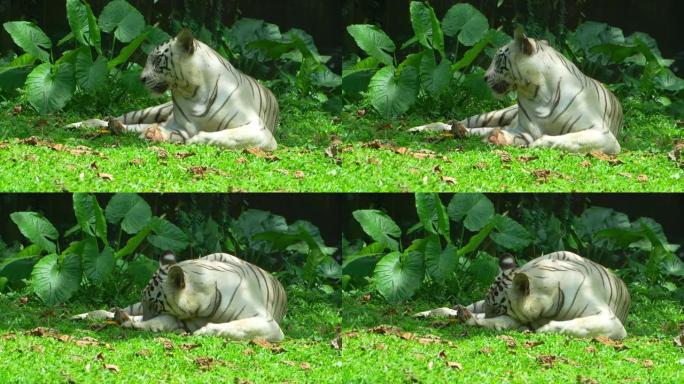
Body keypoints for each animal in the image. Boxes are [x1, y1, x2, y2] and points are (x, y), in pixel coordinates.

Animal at [65, 28, 278, 151]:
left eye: (157, 59)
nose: (141, 78)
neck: (192, 92)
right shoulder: (179, 126)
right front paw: (155, 134)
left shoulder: (258, 129)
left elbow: (227, 136)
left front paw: (196, 140)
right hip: (150, 110)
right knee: (110, 120)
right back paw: (81, 125)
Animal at [73, 254, 288, 340]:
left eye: (154, 304)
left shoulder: (267, 322)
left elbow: (238, 326)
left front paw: (205, 331)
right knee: (115, 311)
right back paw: (86, 316)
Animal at [412, 28, 624, 154]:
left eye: (499, 57)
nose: (485, 77)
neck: (538, 93)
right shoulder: (522, 129)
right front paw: (498, 137)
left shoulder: (602, 134)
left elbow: (569, 139)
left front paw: (539, 143)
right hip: (493, 114)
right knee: (452, 124)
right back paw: (425, 129)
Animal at [412, 252, 632, 340]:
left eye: (497, 306)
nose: (487, 314)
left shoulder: (609, 319)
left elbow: (578, 324)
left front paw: (546, 329)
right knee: (459, 308)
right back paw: (428, 313)